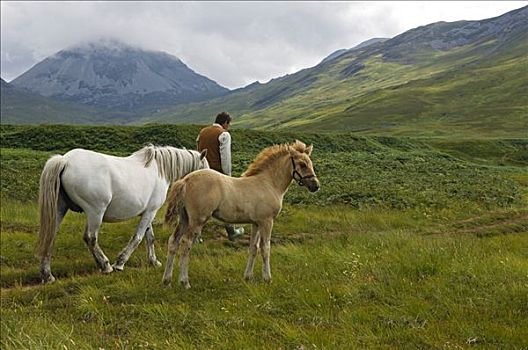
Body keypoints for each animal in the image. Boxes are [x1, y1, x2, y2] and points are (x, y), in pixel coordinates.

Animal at [36, 144, 208, 284]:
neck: (160, 170)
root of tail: (65, 160)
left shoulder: (147, 213)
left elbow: (149, 237)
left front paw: (154, 262)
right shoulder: (150, 212)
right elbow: (138, 237)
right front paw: (120, 262)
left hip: (59, 210)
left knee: (50, 237)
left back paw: (47, 275)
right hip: (95, 212)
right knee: (90, 238)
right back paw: (105, 266)